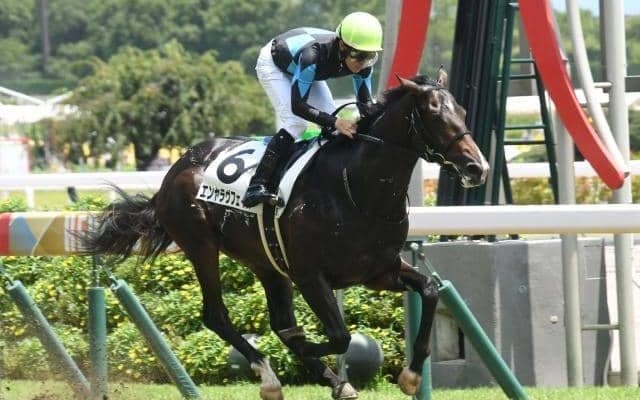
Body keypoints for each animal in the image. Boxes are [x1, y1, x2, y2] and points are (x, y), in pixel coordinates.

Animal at [81, 68, 489, 400]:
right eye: (435, 115)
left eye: (463, 112)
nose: (477, 167)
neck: (358, 189)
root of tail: (176, 168)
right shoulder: (311, 276)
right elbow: (338, 336)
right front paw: (310, 350)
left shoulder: (379, 271)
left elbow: (431, 290)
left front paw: (410, 376)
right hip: (201, 246)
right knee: (217, 315)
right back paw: (270, 377)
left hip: (266, 262)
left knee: (279, 322)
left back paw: (332, 381)